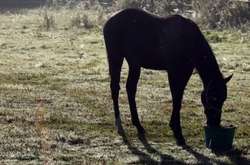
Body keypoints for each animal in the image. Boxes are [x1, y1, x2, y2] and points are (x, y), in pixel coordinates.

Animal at [102, 8, 231, 146]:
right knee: (115, 88)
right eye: (213, 98)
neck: (188, 40)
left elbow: (179, 98)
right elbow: (176, 98)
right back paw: (119, 125)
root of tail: (109, 21)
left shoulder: (186, 72)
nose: (215, 123)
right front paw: (178, 132)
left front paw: (174, 127)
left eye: (223, 99)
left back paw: (138, 125)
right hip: (115, 57)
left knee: (130, 89)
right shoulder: (173, 72)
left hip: (134, 64)